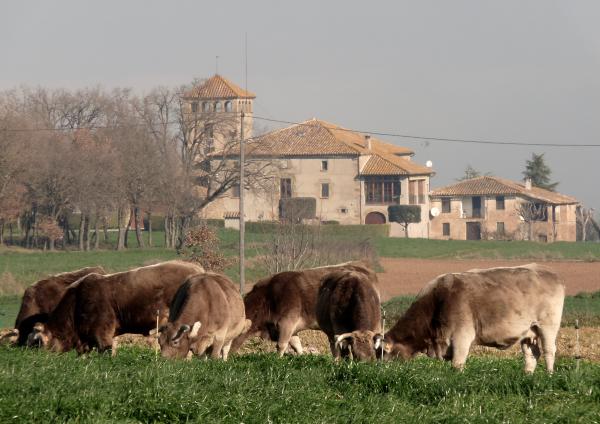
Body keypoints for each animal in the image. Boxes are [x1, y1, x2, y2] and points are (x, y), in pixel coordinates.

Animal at [378, 264, 564, 372]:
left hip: (548, 326)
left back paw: (549, 375)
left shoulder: (462, 336)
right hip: (528, 332)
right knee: (532, 354)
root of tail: (548, 272)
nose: (379, 372)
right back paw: (527, 375)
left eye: (383, 353)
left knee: (549, 351)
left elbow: (457, 364)